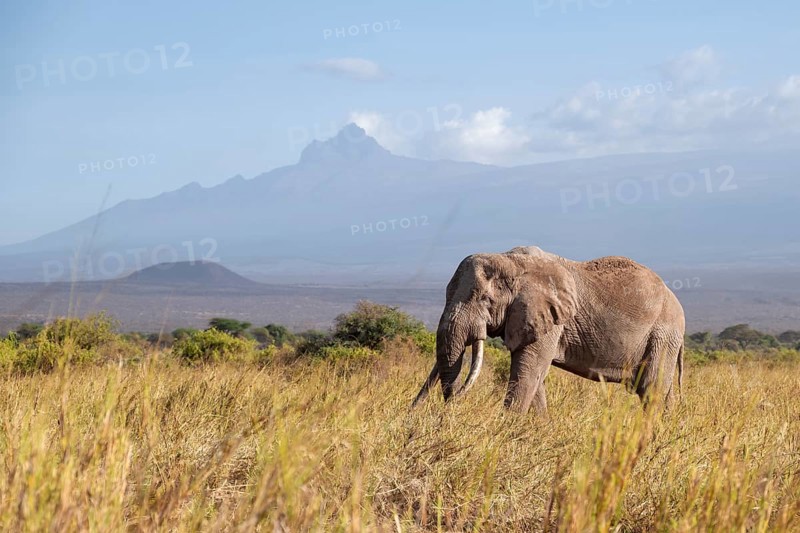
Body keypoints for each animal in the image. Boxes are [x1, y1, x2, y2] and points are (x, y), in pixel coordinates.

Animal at [413, 246, 685, 414]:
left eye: (484, 300)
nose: (452, 405)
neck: (511, 260)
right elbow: (535, 377)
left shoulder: (550, 319)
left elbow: (528, 370)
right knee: (664, 393)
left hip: (663, 335)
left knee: (651, 389)